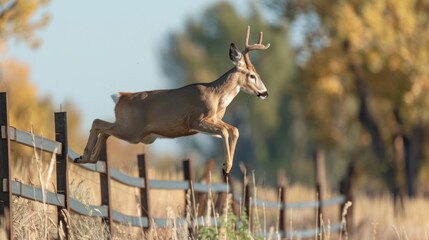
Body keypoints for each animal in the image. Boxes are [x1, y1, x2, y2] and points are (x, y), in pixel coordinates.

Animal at [73, 25, 268, 176]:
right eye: (252, 75)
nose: (265, 92)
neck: (216, 95)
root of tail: (120, 96)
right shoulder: (195, 121)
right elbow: (226, 132)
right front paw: (226, 167)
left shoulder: (214, 120)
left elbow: (234, 130)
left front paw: (226, 167)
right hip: (131, 131)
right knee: (100, 125)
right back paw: (84, 156)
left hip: (132, 130)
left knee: (102, 127)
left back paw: (84, 158)